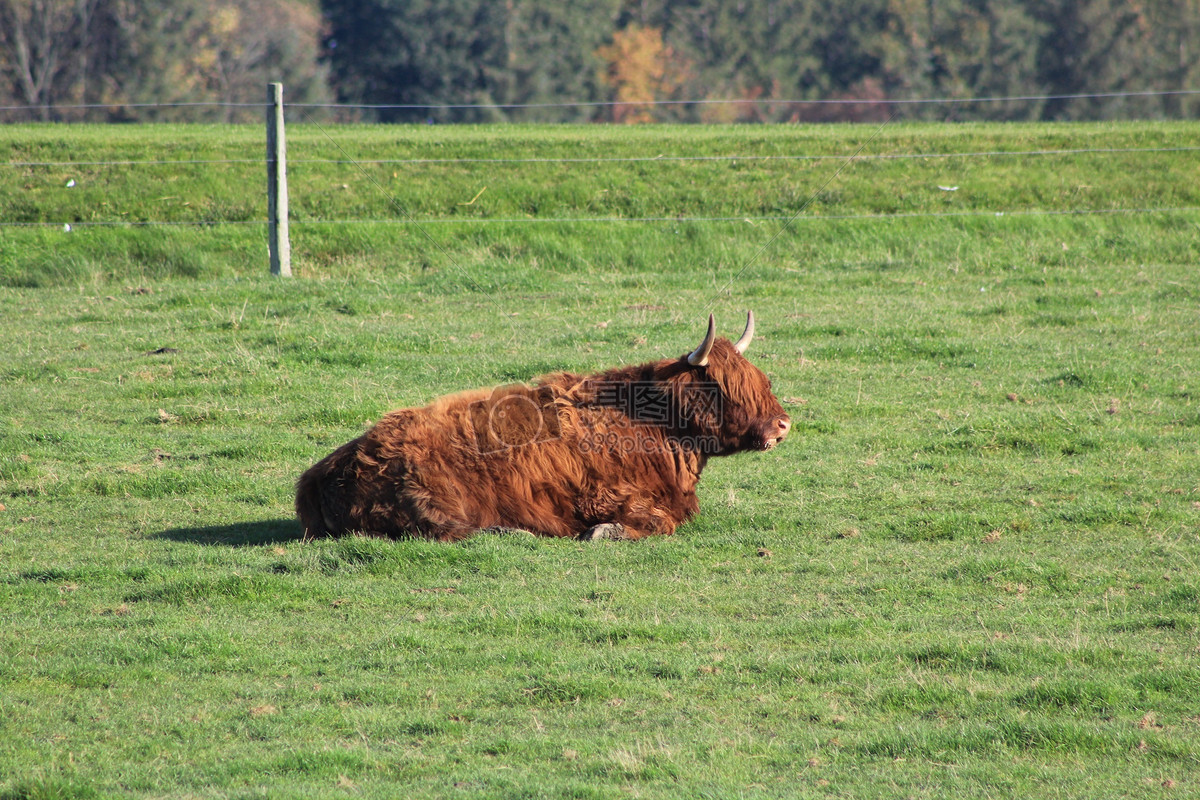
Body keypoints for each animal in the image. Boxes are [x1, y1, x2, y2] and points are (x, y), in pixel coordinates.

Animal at [296, 311, 792, 544]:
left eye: (760, 378)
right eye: (724, 386)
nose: (783, 424)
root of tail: (322, 472)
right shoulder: (607, 495)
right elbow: (658, 521)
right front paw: (603, 533)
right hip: (433, 495)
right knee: (447, 531)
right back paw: (512, 532)